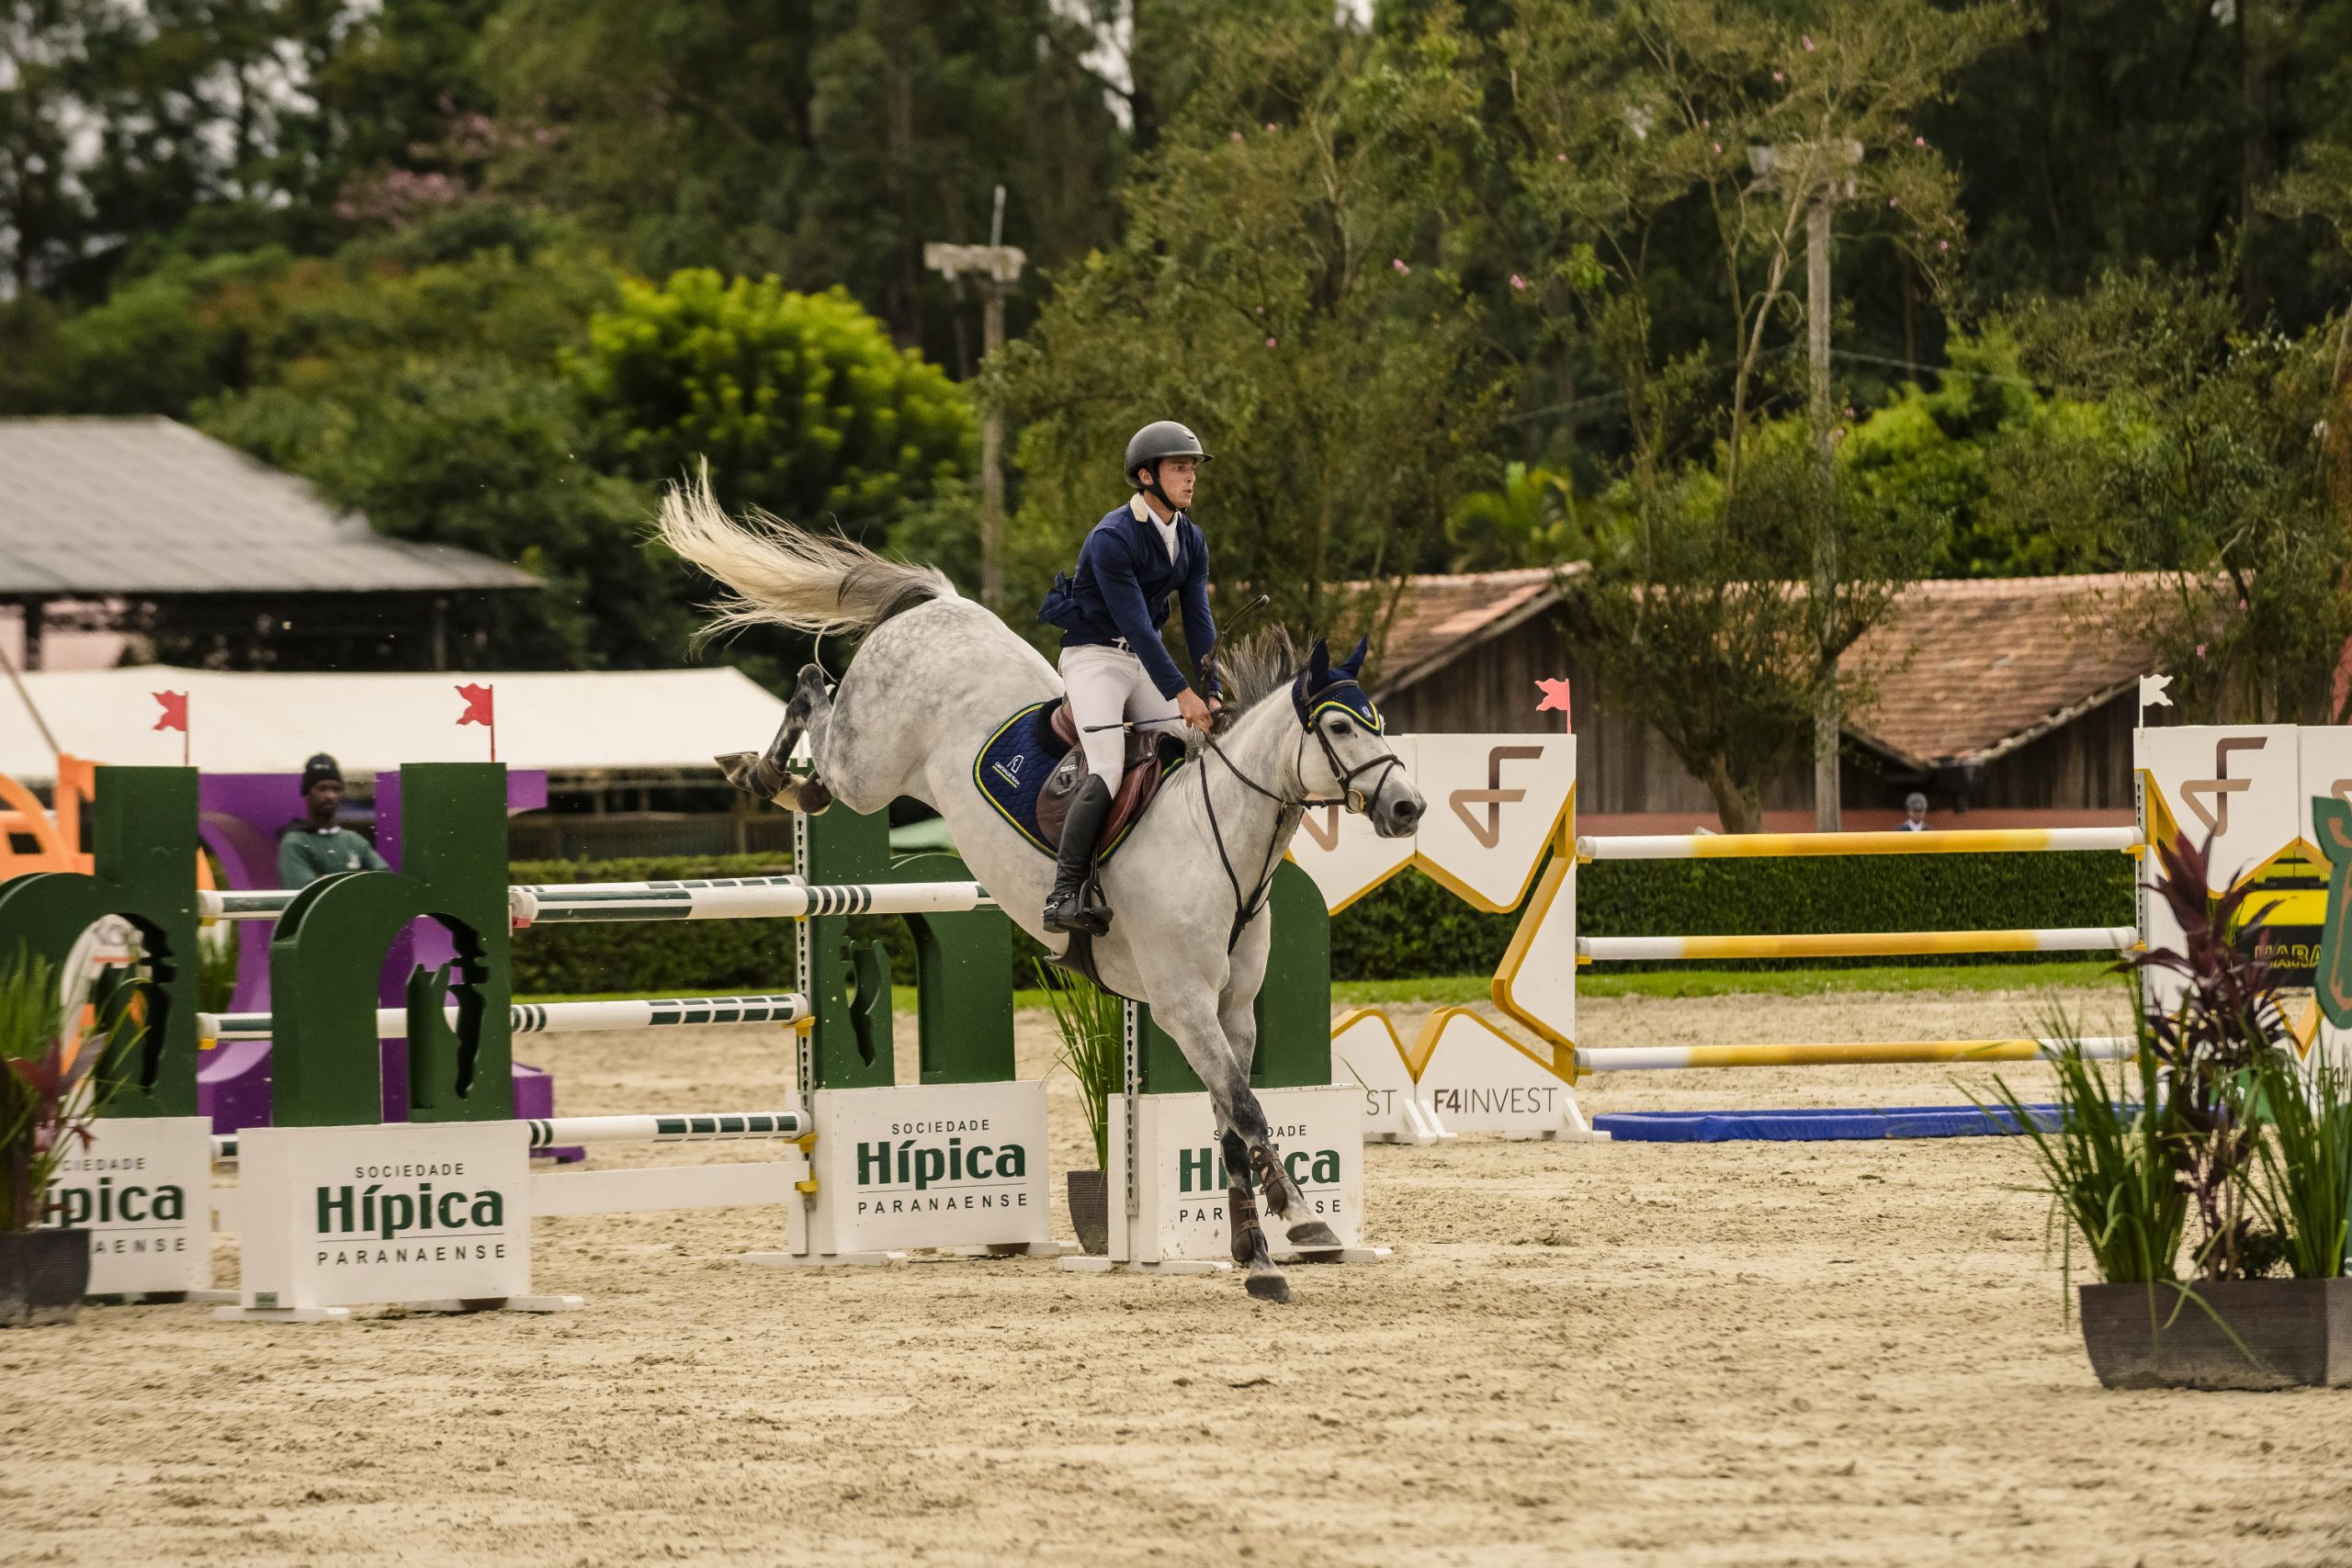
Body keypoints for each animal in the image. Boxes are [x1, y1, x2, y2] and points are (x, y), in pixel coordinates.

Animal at [668, 474, 1430, 1297]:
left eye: (1379, 721)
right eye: (1341, 728)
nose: (1408, 807)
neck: (1215, 834)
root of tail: (942, 603)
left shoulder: (1232, 1007)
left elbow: (1231, 1121)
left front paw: (1263, 1249)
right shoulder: (1184, 1004)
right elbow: (1248, 1111)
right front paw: (1295, 1228)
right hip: (867, 770)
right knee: (815, 695)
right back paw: (766, 774)